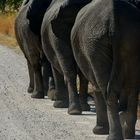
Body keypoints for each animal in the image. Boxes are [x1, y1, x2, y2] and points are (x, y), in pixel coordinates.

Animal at [71, 0, 140, 139]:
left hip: (95, 44)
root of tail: (114, 20)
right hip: (130, 38)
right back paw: (128, 133)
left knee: (108, 90)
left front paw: (98, 131)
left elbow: (96, 87)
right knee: (133, 88)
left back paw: (113, 136)